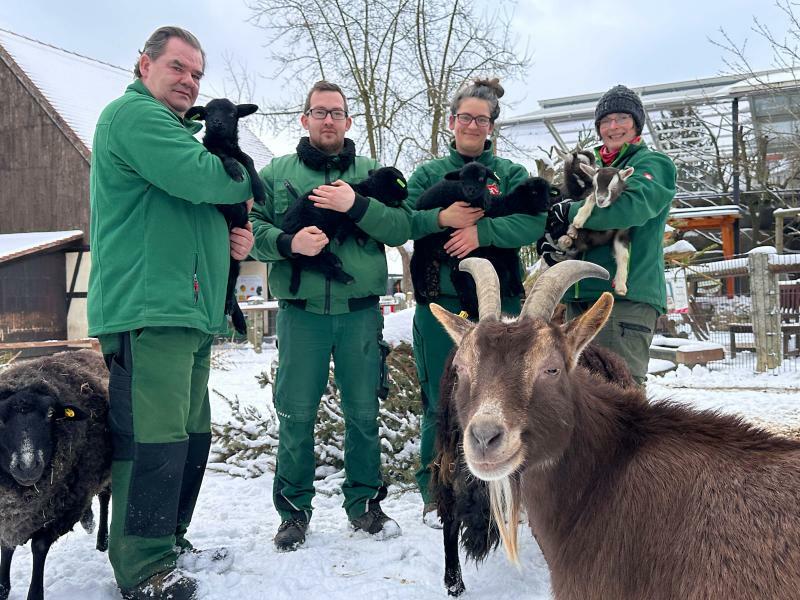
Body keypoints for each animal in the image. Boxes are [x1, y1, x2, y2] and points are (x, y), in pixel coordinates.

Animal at [0, 350, 111, 600]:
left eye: (50, 414)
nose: (27, 466)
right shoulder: (10, 515)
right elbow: (6, 545)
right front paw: (2, 588)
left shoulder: (62, 510)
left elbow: (39, 546)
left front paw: (34, 593)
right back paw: (88, 521)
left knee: (104, 497)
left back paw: (102, 540)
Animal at [184, 96, 266, 336]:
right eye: (209, 113)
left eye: (231, 114)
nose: (217, 123)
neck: (223, 142)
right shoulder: (211, 151)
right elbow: (223, 157)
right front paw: (234, 170)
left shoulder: (238, 151)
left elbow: (247, 159)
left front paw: (259, 191)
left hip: (234, 259)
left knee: (229, 285)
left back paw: (235, 315)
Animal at [280, 166, 406, 296]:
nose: (405, 196)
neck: (369, 189)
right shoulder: (345, 214)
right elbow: (348, 225)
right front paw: (341, 240)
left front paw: (360, 239)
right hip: (313, 235)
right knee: (315, 262)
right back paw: (345, 276)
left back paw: (335, 261)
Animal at [410, 162, 552, 316]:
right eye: (534, 192)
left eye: (548, 192)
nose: (547, 204)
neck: (507, 206)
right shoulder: (494, 253)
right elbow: (504, 272)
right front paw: (514, 291)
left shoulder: (506, 250)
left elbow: (511, 266)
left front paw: (517, 290)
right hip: (428, 242)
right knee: (418, 264)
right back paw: (423, 294)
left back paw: (432, 287)